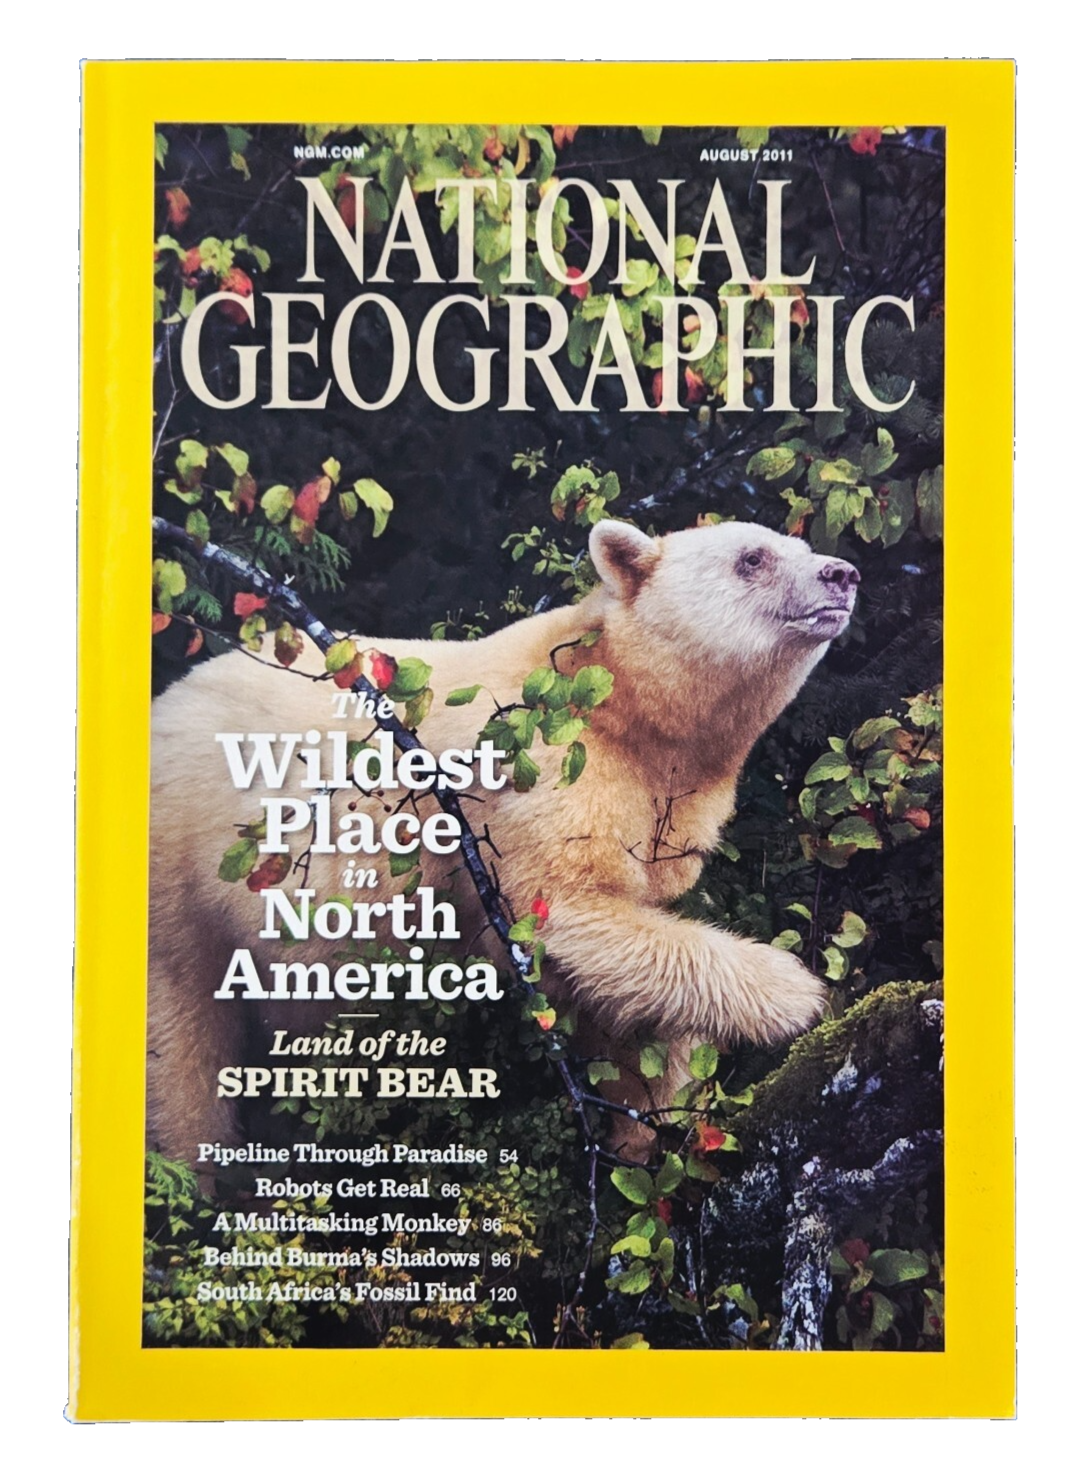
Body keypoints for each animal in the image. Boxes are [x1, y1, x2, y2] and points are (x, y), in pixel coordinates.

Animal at [146, 518, 859, 1165]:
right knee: (180, 1047)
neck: (620, 703)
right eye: (753, 557)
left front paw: (647, 1130)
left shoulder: (668, 804)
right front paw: (797, 992)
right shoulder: (539, 768)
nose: (843, 574)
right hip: (180, 868)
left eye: (800, 546)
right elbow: (563, 911)